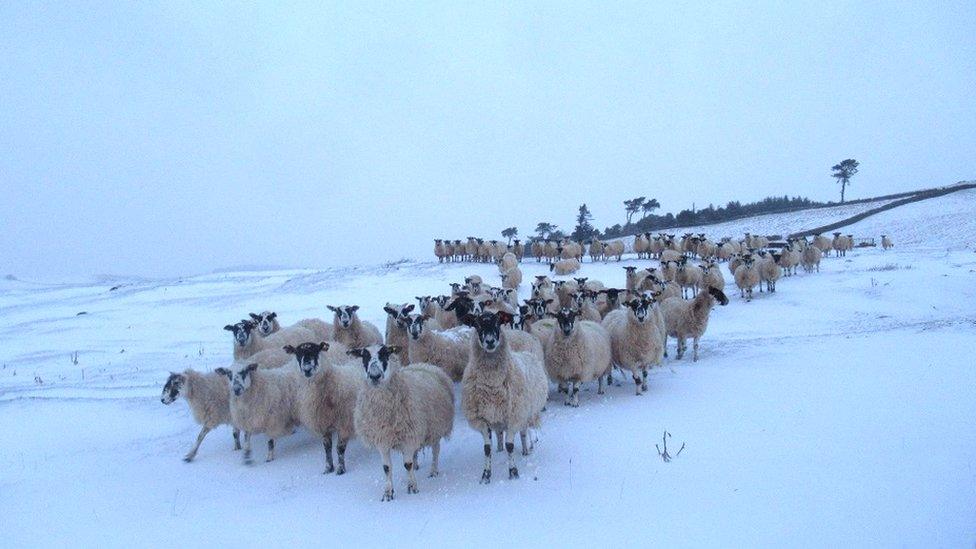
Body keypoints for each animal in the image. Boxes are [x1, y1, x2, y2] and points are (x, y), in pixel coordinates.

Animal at [284, 340, 364, 474]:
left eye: (316, 351)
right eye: (297, 354)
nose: (307, 369)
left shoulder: (344, 424)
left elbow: (339, 448)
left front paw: (340, 469)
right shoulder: (323, 424)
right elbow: (327, 447)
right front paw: (328, 468)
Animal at [350, 346, 454, 500]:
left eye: (385, 354)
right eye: (364, 356)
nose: (375, 376)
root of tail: (425, 365)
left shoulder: (409, 437)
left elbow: (407, 464)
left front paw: (412, 487)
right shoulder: (382, 439)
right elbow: (387, 468)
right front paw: (388, 493)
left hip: (435, 427)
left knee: (436, 450)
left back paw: (433, 471)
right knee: (416, 453)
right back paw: (417, 466)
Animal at [460, 310, 544, 482]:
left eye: (498, 322)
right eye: (477, 324)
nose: (490, 341)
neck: (492, 384)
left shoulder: (514, 416)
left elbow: (510, 445)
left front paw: (513, 472)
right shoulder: (483, 419)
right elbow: (487, 448)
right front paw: (486, 475)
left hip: (525, 412)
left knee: (524, 432)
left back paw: (526, 449)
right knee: (500, 434)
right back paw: (500, 449)